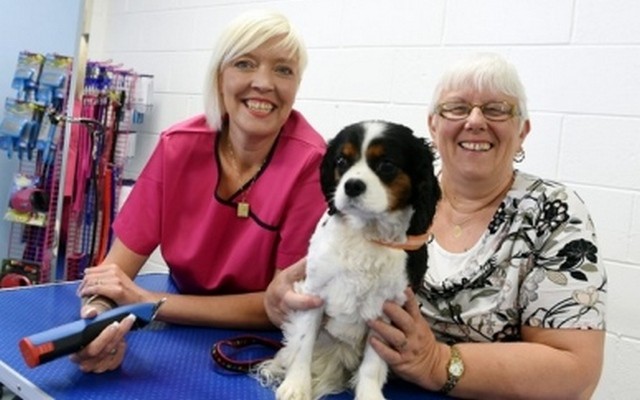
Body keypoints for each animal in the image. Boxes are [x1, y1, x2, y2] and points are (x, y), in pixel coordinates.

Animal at [255, 120, 440, 398]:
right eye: (342, 161)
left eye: (386, 165)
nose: (352, 185)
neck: (365, 233)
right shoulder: (313, 293)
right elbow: (303, 343)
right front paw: (296, 386)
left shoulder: (388, 310)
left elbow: (373, 363)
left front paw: (369, 394)